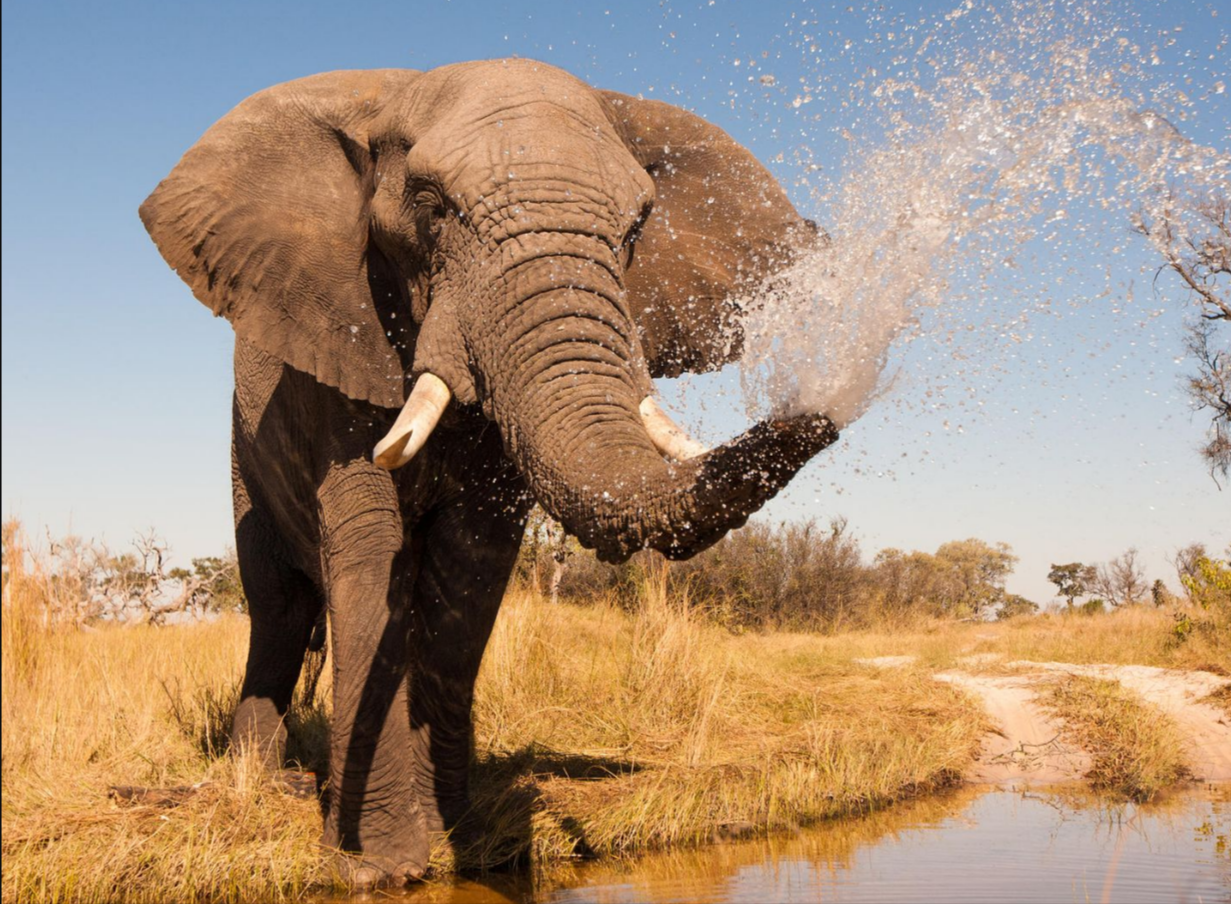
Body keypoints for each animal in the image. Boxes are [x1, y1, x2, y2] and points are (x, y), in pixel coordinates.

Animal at [140, 59, 838, 885]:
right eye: (431, 205)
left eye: (636, 227)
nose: (821, 411)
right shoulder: (339, 341)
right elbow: (371, 550)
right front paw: (377, 867)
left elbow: (469, 567)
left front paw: (464, 845)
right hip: (244, 456)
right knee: (276, 607)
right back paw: (261, 782)